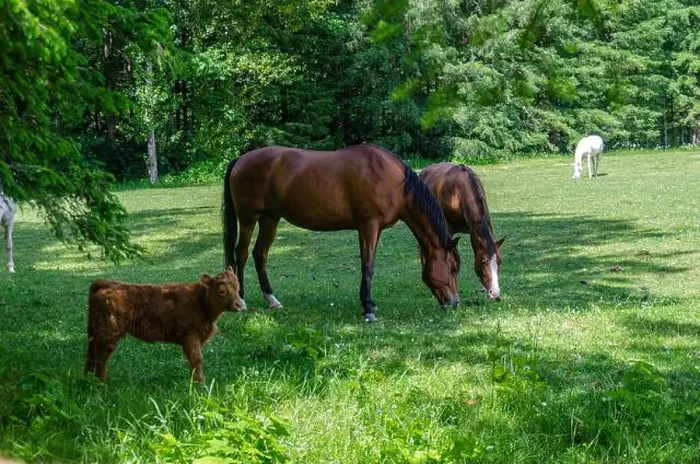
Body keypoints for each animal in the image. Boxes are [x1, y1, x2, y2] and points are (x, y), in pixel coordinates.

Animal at [221, 144, 461, 322]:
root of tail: (240, 159)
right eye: (453, 268)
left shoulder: (375, 229)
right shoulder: (368, 225)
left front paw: (369, 303)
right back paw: (241, 298)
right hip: (249, 217)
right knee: (241, 253)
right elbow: (368, 265)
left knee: (260, 254)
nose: (454, 302)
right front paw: (368, 310)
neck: (393, 180)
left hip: (270, 219)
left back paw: (272, 299)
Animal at [419, 163, 504, 299]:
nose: (495, 292)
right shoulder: (448, 231)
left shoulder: (472, 230)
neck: (458, 193)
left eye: (499, 261)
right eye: (484, 261)